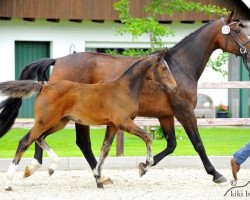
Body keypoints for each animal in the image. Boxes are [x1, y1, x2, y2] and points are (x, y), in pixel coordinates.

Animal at [0, 49, 176, 189]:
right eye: (164, 67)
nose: (174, 87)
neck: (124, 89)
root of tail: (44, 86)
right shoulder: (123, 122)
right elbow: (147, 137)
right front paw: (144, 166)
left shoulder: (112, 126)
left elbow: (104, 150)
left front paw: (99, 178)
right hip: (45, 121)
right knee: (25, 141)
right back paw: (9, 182)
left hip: (59, 122)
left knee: (39, 138)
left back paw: (51, 167)